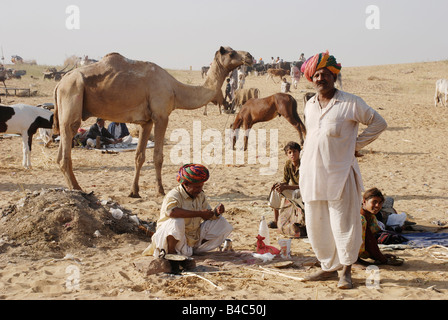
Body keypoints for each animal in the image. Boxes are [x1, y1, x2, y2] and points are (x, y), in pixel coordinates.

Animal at [53, 46, 254, 196]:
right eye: (231, 53)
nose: (249, 56)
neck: (175, 89)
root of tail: (60, 83)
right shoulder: (161, 116)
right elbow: (158, 156)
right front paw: (161, 190)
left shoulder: (146, 121)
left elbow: (139, 157)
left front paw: (134, 191)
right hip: (73, 93)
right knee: (67, 146)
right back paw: (78, 189)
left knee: (61, 148)